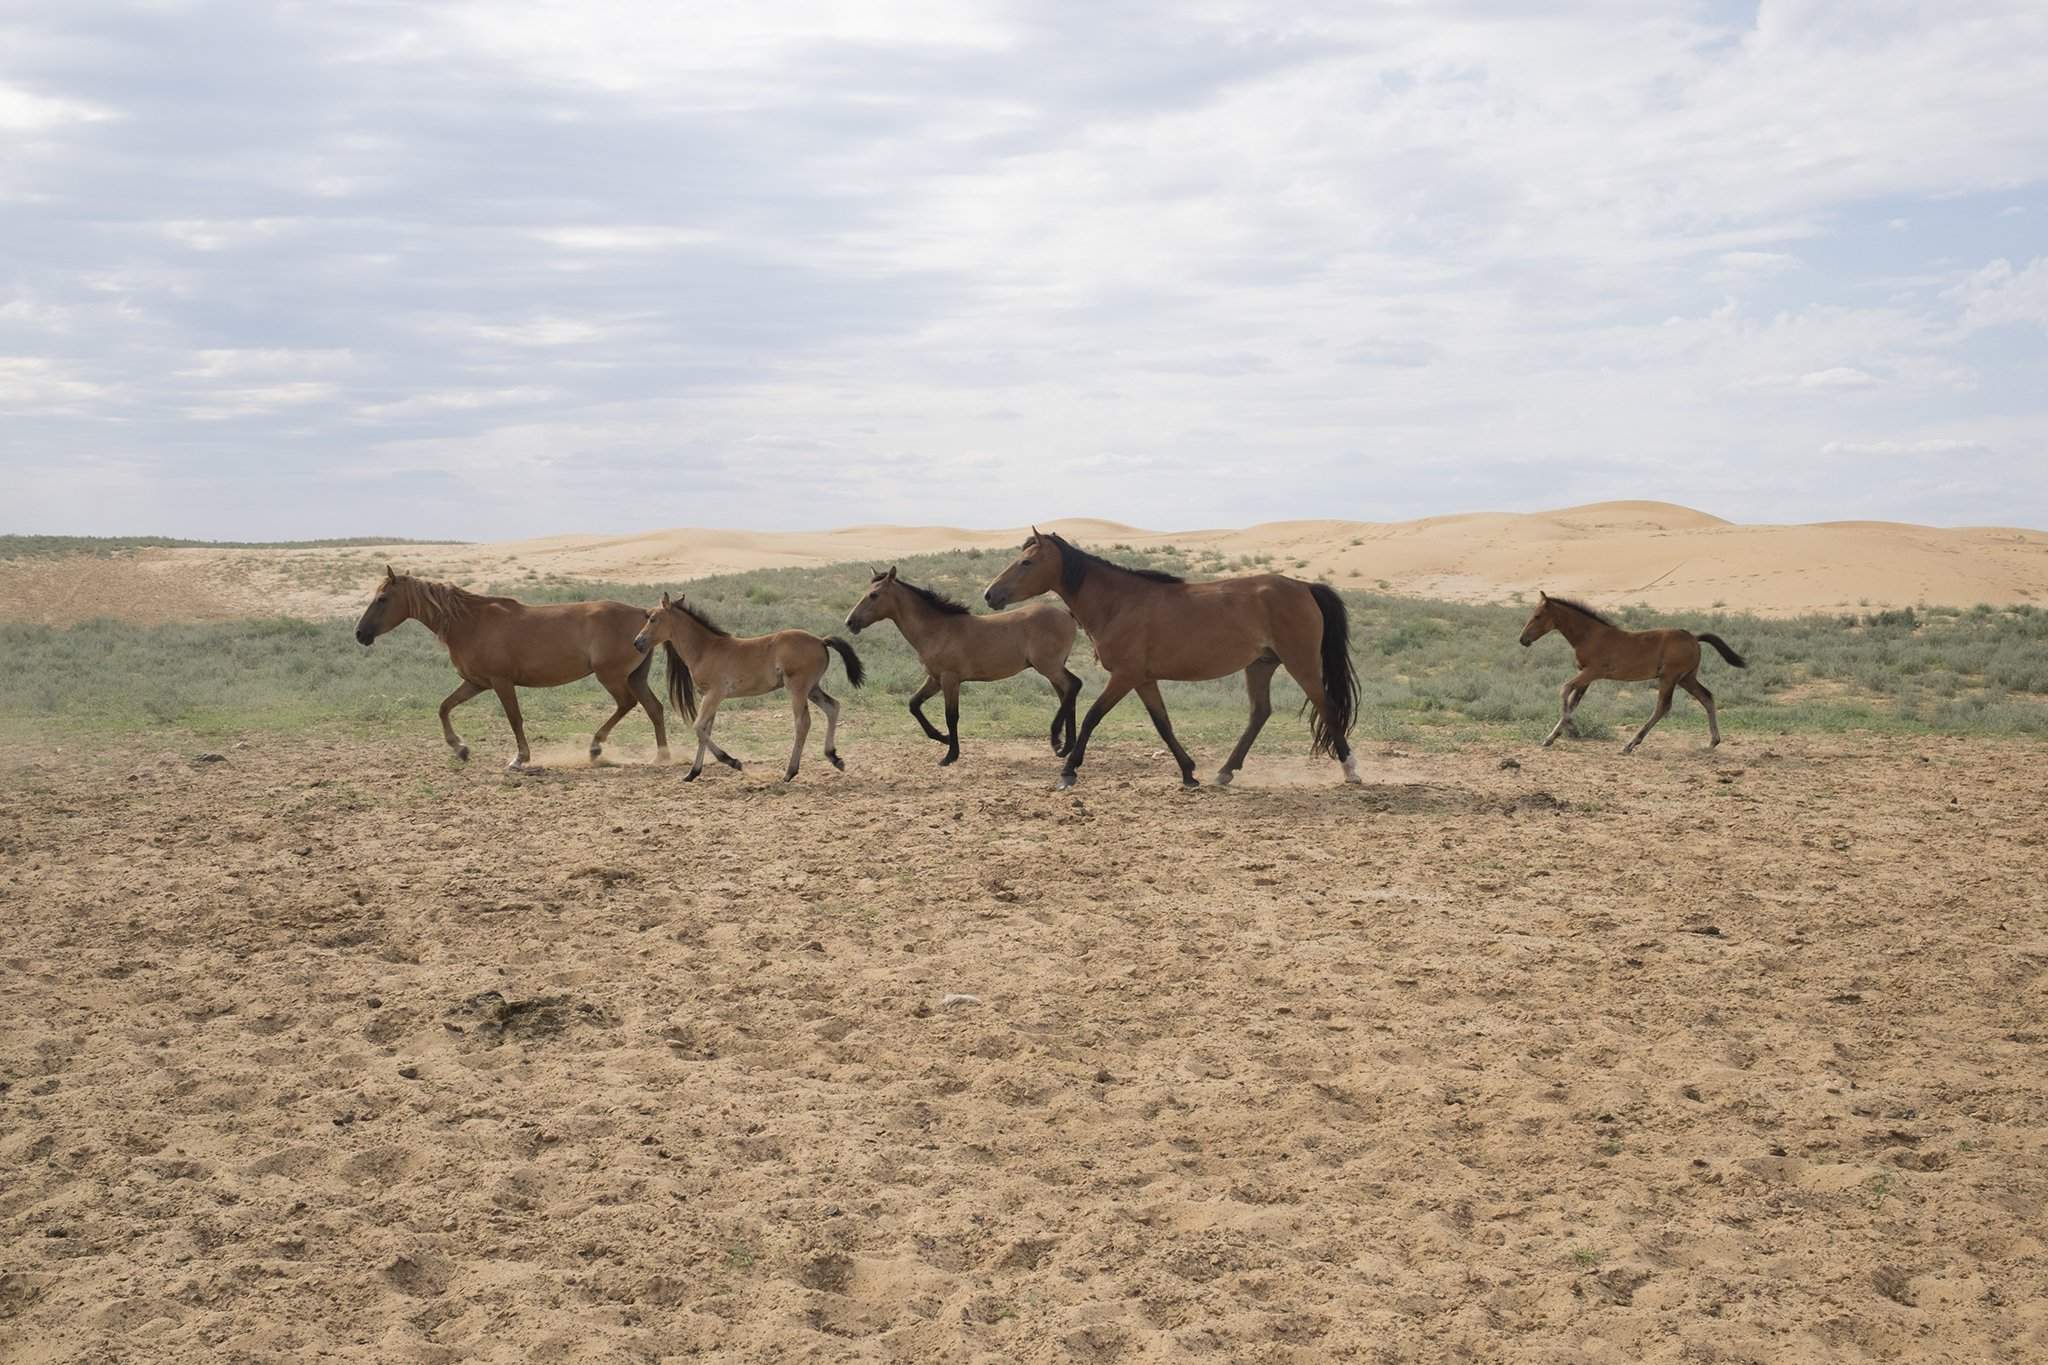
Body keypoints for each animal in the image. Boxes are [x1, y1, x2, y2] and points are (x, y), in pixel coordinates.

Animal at [352, 564, 667, 769]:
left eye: (382, 599)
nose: (360, 634)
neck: (469, 623)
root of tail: (643, 614)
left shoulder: (501, 682)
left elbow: (514, 719)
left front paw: (519, 759)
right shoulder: (476, 682)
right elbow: (444, 707)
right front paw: (461, 749)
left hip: (612, 676)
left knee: (627, 704)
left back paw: (596, 747)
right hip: (635, 677)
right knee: (654, 708)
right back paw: (661, 755)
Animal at [634, 593, 868, 785]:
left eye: (652, 619)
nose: (637, 642)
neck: (706, 649)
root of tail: (820, 640)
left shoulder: (715, 694)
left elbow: (698, 727)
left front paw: (733, 761)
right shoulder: (709, 698)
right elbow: (704, 731)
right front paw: (692, 772)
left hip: (798, 688)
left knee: (803, 723)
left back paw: (790, 772)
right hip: (812, 688)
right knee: (832, 707)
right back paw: (834, 758)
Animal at [839, 560, 1089, 765]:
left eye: (874, 595)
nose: (850, 622)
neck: (938, 630)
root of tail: (1067, 614)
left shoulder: (950, 679)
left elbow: (951, 716)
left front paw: (950, 755)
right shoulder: (935, 678)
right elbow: (914, 704)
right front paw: (942, 738)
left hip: (1049, 667)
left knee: (1074, 686)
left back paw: (1057, 741)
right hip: (1052, 669)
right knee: (1067, 695)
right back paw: (1066, 747)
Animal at [978, 532, 1359, 789]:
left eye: (1026, 562)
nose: (990, 594)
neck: (1119, 603)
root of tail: (1305, 586)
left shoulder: (1124, 676)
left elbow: (1091, 718)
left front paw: (1068, 770)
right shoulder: (1144, 679)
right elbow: (1163, 724)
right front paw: (1189, 772)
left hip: (1301, 663)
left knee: (1325, 706)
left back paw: (1351, 769)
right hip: (1261, 665)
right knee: (1260, 713)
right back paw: (1224, 772)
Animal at [1515, 593, 1753, 753]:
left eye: (1537, 616)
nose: (1522, 639)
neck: (1590, 635)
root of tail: (1694, 637)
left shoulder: (1592, 672)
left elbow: (1564, 690)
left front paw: (1572, 728)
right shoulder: (1586, 677)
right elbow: (1573, 702)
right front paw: (1551, 737)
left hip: (1669, 678)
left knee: (1663, 707)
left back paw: (1631, 743)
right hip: (1687, 678)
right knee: (1707, 698)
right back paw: (1713, 741)